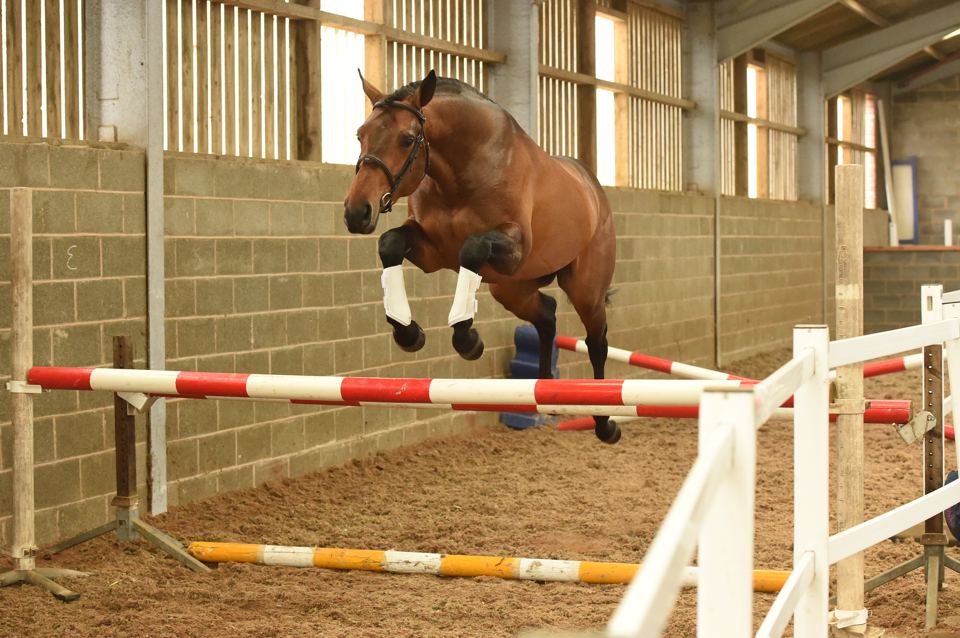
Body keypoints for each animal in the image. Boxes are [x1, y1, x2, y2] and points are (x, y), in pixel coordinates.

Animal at [342, 70, 619, 444]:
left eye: (407, 139)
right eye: (361, 134)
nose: (357, 212)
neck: (461, 173)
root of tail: (593, 189)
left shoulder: (512, 248)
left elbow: (471, 249)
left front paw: (468, 339)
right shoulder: (431, 252)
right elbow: (390, 244)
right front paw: (409, 333)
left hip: (584, 290)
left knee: (596, 341)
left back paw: (604, 422)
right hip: (511, 289)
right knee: (546, 314)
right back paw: (545, 390)